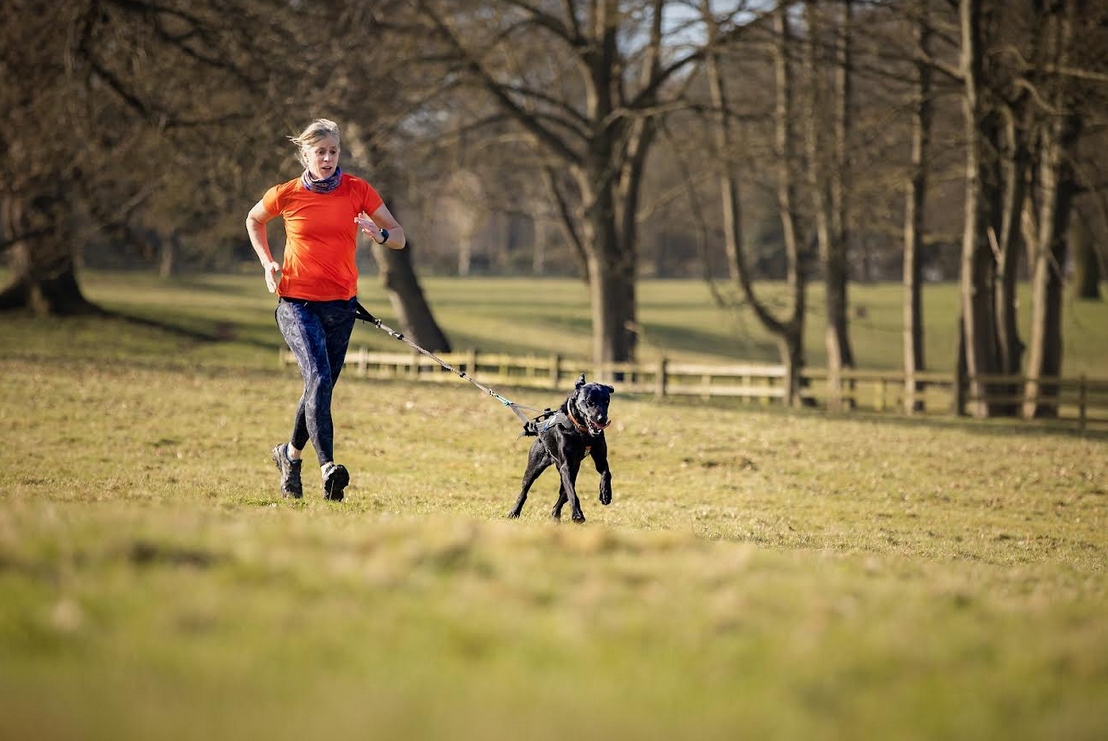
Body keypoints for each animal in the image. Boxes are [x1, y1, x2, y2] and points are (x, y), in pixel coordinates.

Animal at [507, 369, 616, 520]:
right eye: (590, 401)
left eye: (606, 401)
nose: (602, 419)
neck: (581, 432)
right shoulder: (566, 466)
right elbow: (572, 493)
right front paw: (577, 514)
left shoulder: (599, 460)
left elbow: (606, 473)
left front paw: (605, 494)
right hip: (535, 466)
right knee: (525, 490)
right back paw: (514, 512)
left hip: (571, 468)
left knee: (563, 493)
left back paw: (555, 514)